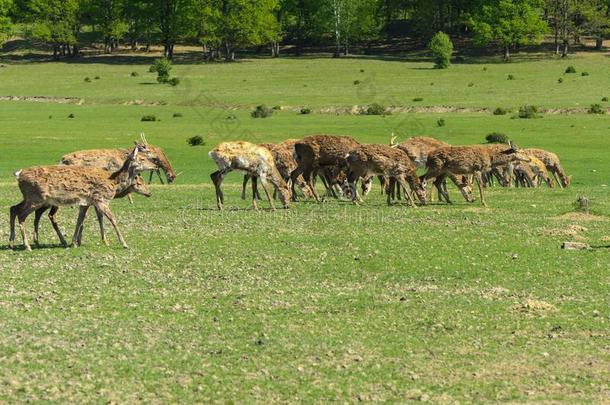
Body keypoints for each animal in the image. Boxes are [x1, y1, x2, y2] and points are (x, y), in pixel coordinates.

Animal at [10, 142, 148, 249]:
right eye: (141, 159)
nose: (149, 193)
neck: (113, 182)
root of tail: (18, 175)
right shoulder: (100, 199)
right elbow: (112, 219)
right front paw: (124, 244)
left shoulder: (85, 202)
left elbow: (80, 220)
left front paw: (74, 243)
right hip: (36, 198)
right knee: (21, 215)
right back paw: (27, 245)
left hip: (30, 197)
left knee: (13, 208)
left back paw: (12, 243)